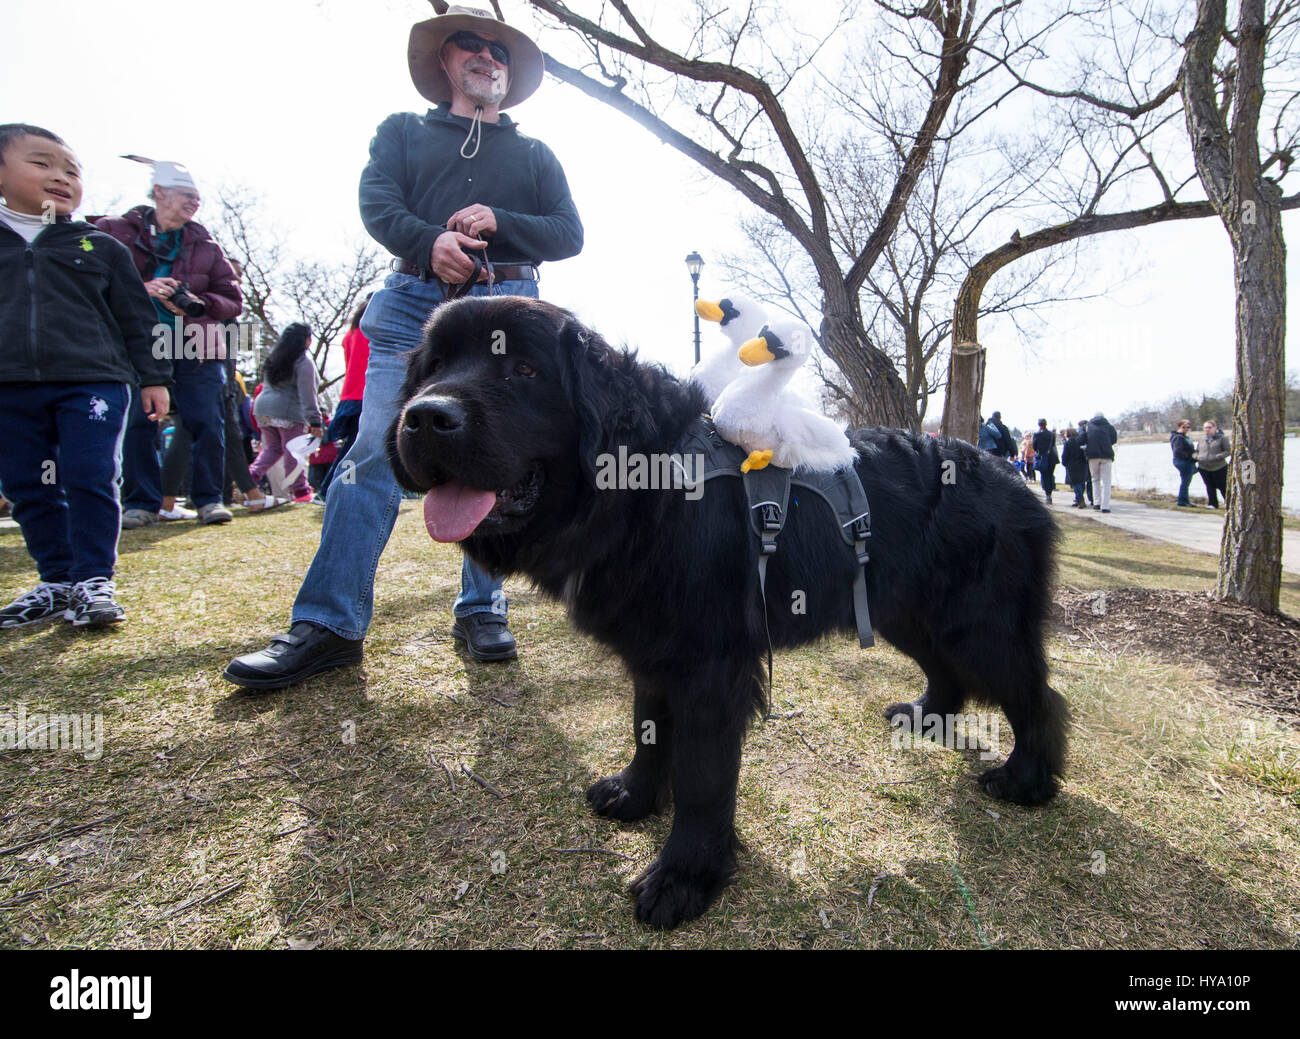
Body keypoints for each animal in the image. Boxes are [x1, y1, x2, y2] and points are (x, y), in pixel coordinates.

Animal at [384, 296, 1066, 931]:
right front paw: (633, 796)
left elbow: (703, 777)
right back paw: (927, 716)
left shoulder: (710, 666)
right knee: (949, 670)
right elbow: (648, 730)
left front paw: (683, 880)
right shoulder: (655, 652)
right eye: (433, 368)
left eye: (524, 369)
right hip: (905, 611)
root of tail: (1011, 472)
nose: (424, 417)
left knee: (1037, 696)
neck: (644, 484)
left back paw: (1026, 781)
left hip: (977, 625)